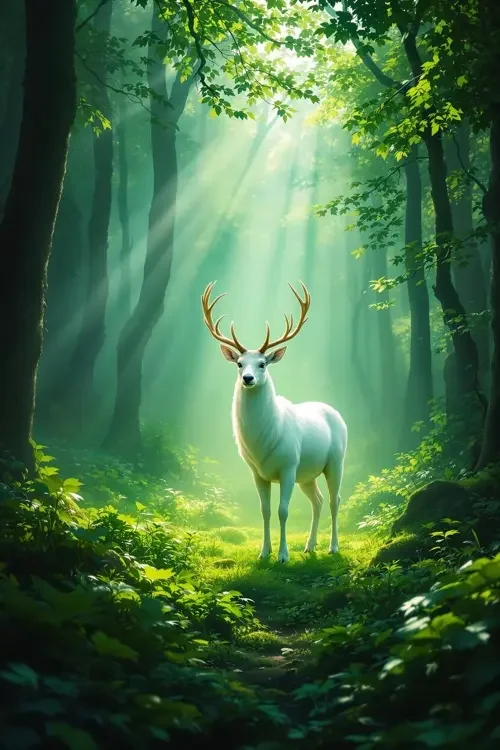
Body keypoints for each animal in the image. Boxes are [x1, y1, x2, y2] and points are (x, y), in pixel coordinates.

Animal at [201, 281, 347, 563]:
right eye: (239, 363)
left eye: (262, 363)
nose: (247, 378)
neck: (262, 442)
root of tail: (336, 412)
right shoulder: (257, 472)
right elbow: (265, 510)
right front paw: (264, 552)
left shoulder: (289, 466)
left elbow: (283, 511)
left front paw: (282, 555)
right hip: (307, 474)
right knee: (317, 500)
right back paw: (310, 545)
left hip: (336, 460)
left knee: (334, 500)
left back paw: (333, 547)